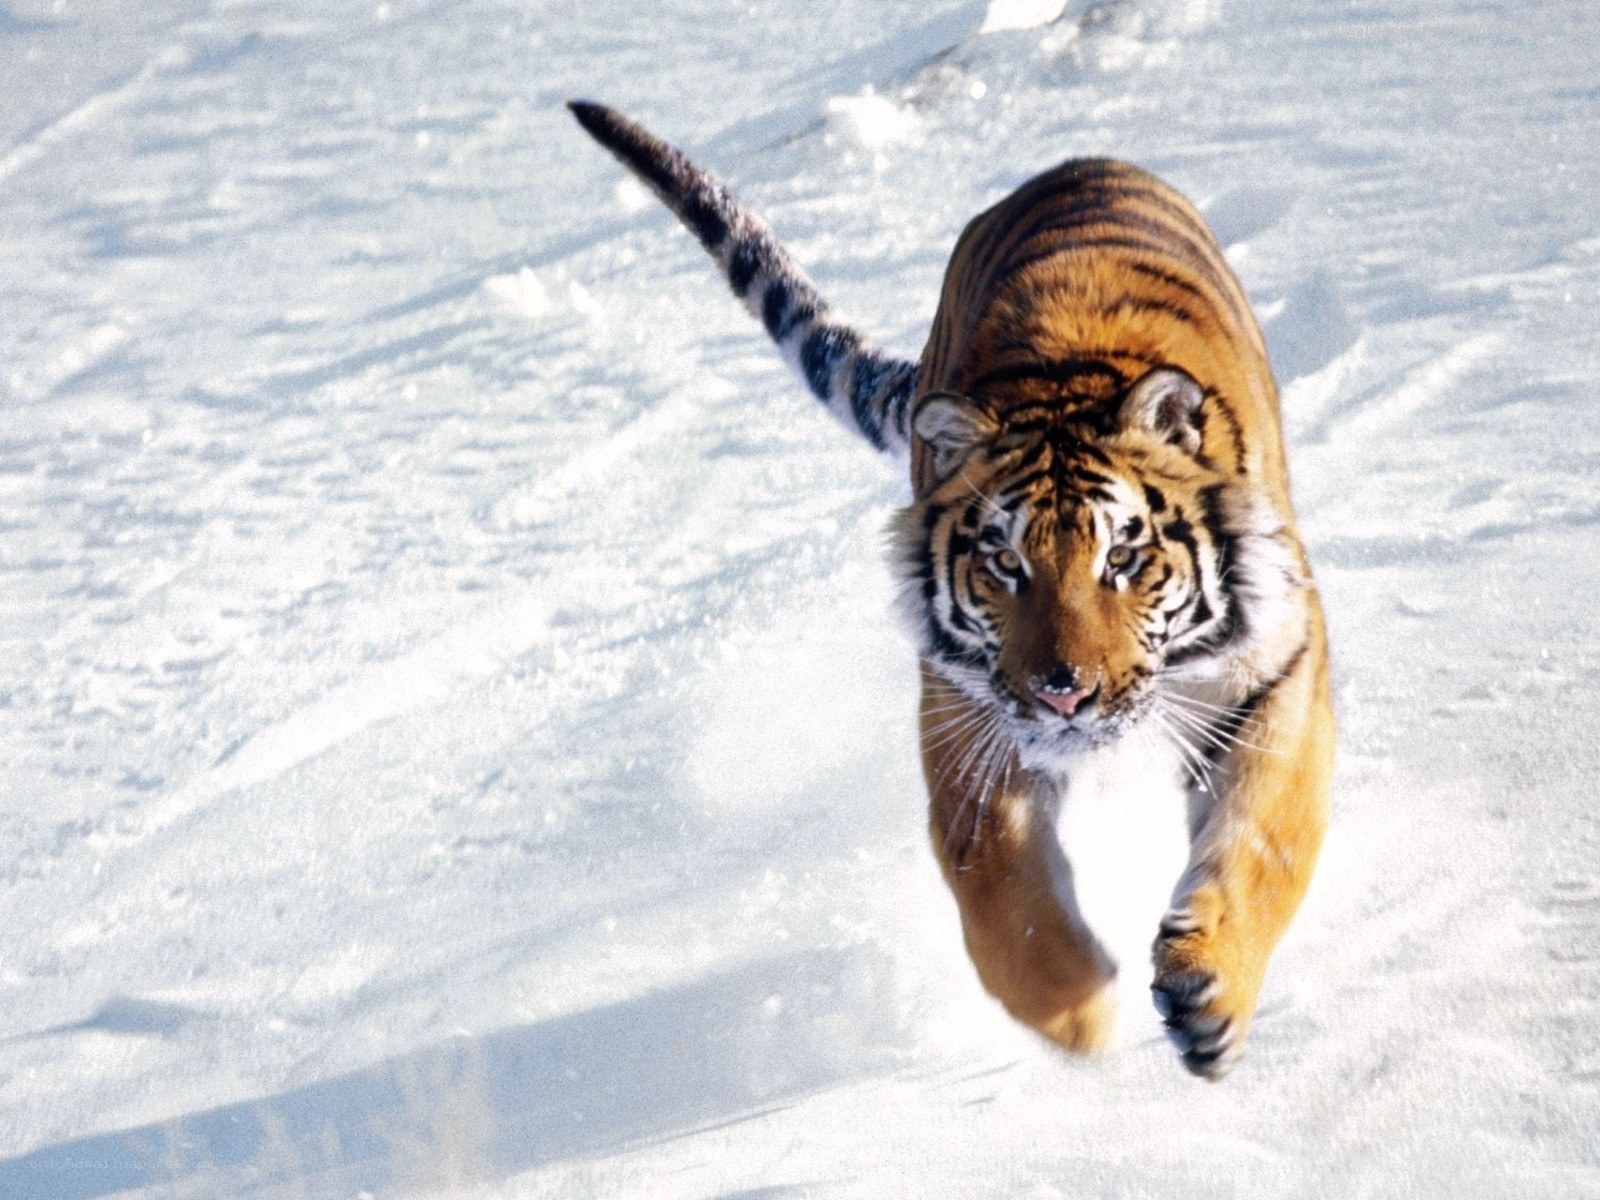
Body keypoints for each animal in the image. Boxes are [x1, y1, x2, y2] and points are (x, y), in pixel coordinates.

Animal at [569, 100, 1333, 1080]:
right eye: (1005, 563)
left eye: (1123, 558)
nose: (1063, 693)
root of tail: (1071, 164)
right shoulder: (966, 713)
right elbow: (999, 892)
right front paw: (1076, 1014)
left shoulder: (1276, 669)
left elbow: (1266, 839)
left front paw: (1209, 995)